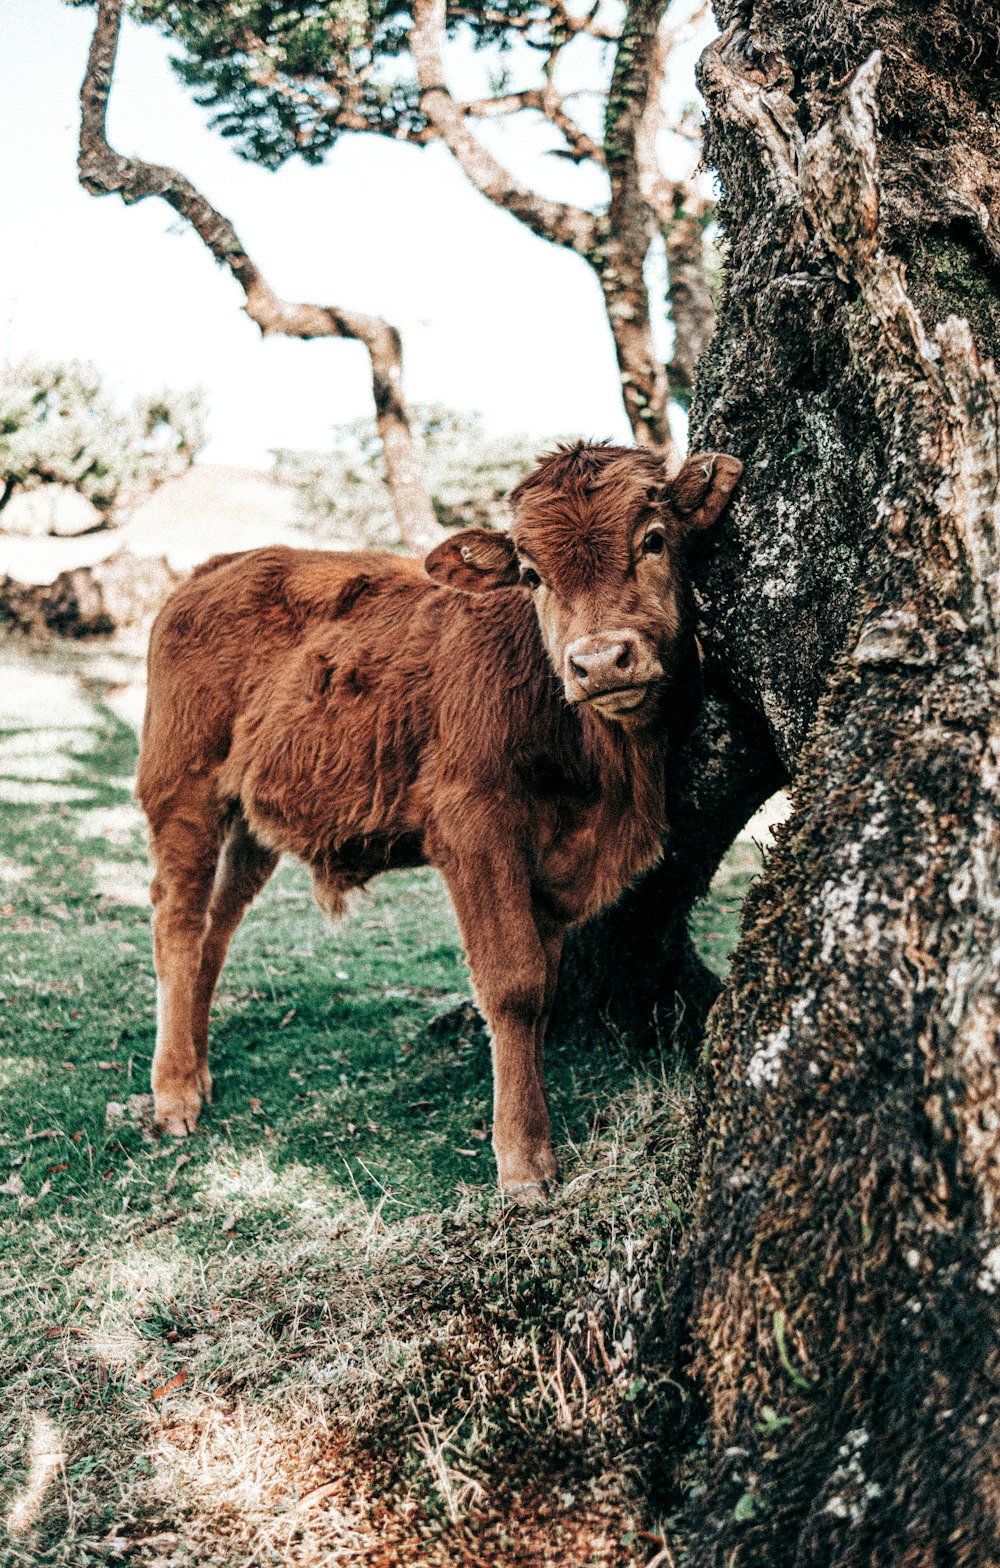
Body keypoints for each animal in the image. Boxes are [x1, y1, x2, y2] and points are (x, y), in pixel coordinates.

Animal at [137, 442, 739, 1197]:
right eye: (532, 575)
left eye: (654, 540)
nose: (601, 662)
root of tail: (215, 568)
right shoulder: (474, 826)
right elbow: (513, 983)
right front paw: (523, 1161)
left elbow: (544, 982)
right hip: (182, 790)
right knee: (178, 922)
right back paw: (174, 1094)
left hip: (251, 825)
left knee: (218, 926)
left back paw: (199, 1070)